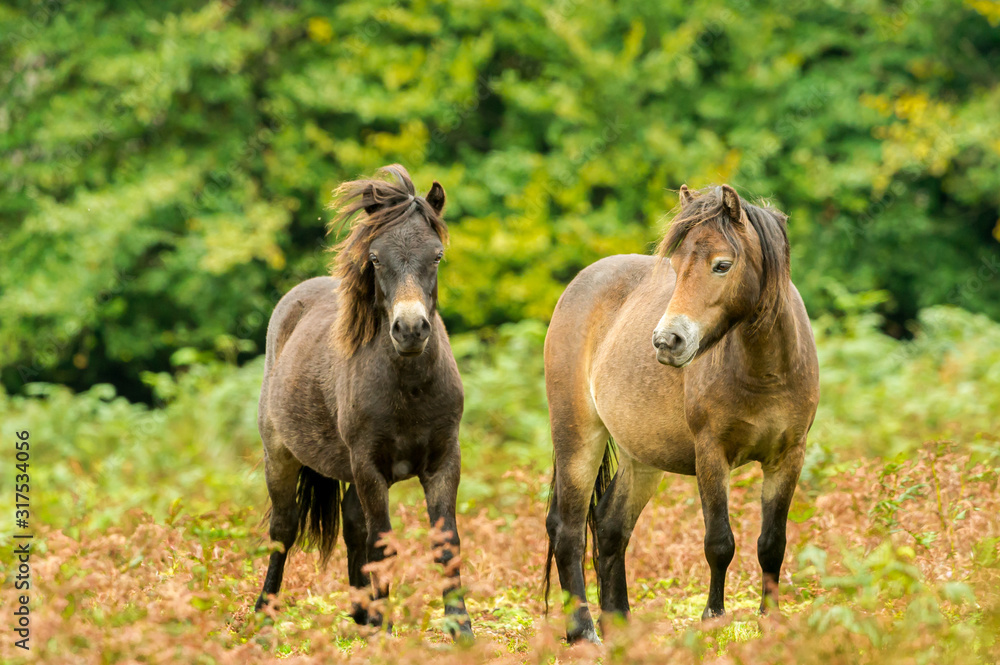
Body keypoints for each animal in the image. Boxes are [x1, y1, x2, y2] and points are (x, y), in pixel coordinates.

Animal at [258, 165, 476, 640]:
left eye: (436, 256)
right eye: (375, 258)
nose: (410, 329)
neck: (408, 390)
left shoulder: (444, 463)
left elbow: (445, 545)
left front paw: (461, 631)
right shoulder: (370, 467)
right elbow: (383, 544)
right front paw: (385, 630)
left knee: (352, 524)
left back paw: (361, 616)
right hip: (280, 456)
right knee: (283, 531)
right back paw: (262, 618)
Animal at [548, 184, 820, 640]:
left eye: (722, 265)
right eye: (675, 267)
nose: (666, 341)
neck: (765, 370)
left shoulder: (788, 457)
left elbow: (772, 544)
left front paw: (770, 620)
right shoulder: (711, 455)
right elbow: (719, 542)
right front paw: (714, 618)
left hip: (641, 458)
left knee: (610, 525)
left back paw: (619, 625)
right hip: (577, 439)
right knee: (568, 532)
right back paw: (583, 634)